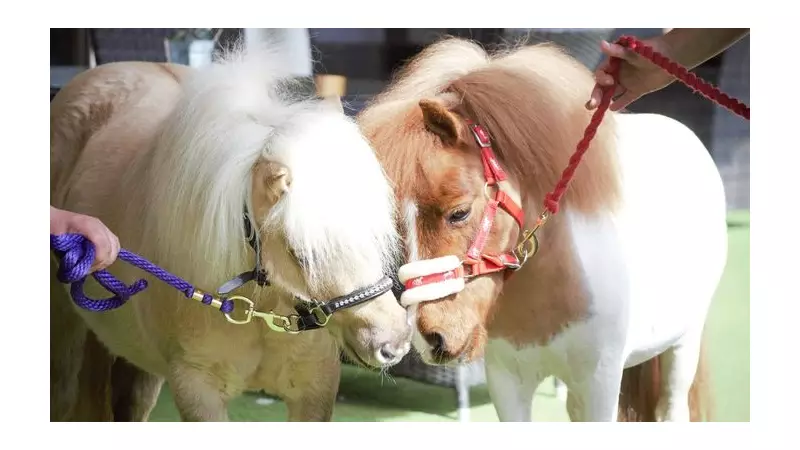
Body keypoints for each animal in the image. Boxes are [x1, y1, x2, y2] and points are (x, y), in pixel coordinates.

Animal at [50, 44, 413, 422]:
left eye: (375, 234)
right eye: (300, 254)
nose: (392, 343)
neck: (258, 309)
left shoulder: (316, 388)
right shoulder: (197, 390)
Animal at [357, 37, 728, 422]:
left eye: (459, 213)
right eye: (395, 225)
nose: (431, 339)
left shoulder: (599, 382)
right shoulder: (507, 381)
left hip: (683, 345)